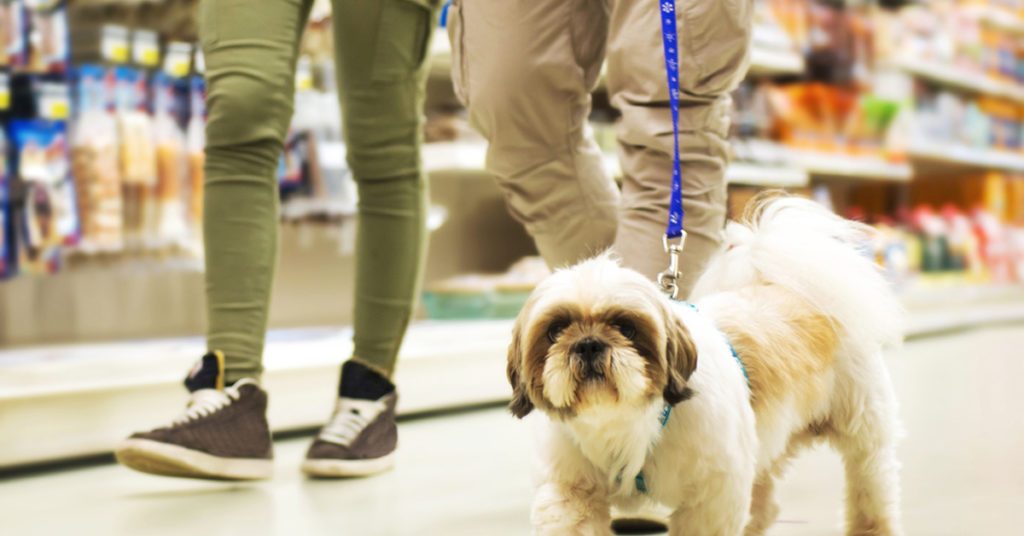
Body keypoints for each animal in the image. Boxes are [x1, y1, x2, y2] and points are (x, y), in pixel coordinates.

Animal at [507, 193, 901, 536]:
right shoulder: (570, 491)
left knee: (871, 485)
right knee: (764, 505)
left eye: (627, 328)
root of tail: (793, 289)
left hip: (862, 431)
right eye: (555, 330)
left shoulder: (715, 494)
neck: (623, 424)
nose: (588, 344)